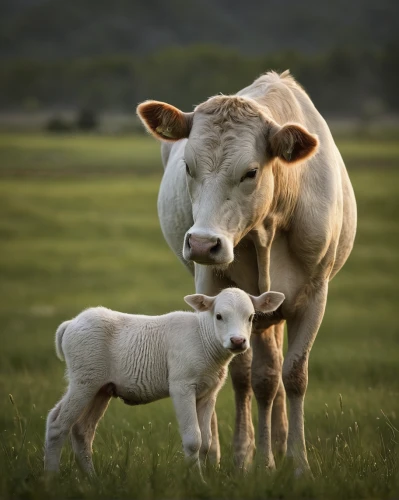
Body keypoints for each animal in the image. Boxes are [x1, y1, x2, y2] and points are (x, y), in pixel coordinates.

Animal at [45, 288, 286, 474]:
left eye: (251, 317)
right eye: (218, 316)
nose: (238, 341)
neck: (204, 338)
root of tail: (70, 324)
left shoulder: (208, 393)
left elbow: (206, 442)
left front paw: (204, 479)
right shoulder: (181, 386)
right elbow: (193, 440)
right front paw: (195, 481)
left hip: (100, 387)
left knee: (80, 430)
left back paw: (91, 479)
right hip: (84, 379)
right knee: (59, 424)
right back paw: (51, 478)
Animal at [136, 69, 358, 472]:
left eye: (250, 172)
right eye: (188, 166)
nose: (202, 244)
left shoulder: (315, 295)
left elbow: (294, 375)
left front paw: (297, 464)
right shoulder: (214, 287)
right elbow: (241, 375)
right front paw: (244, 459)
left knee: (274, 373)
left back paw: (280, 445)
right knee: (254, 375)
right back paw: (226, 452)